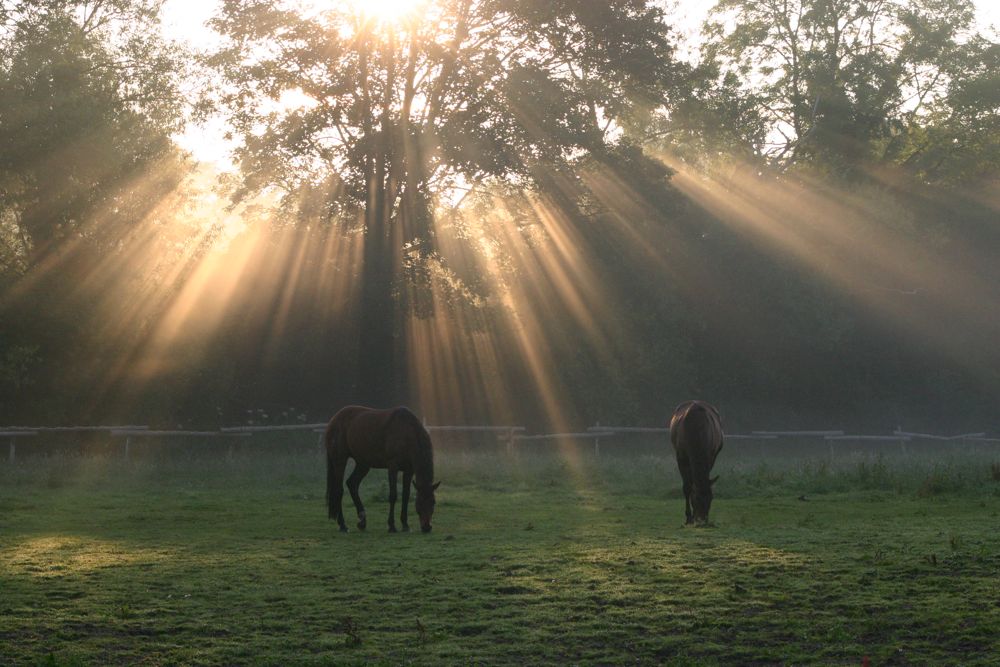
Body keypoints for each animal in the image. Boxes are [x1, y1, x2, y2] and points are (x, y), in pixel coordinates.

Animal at [326, 404, 440, 536]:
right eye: (419, 502)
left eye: (433, 502)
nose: (427, 527)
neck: (406, 432)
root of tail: (334, 420)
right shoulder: (393, 467)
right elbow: (393, 495)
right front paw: (392, 526)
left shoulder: (409, 471)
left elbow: (405, 496)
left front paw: (405, 525)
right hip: (340, 461)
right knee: (339, 490)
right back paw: (343, 525)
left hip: (363, 464)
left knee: (352, 484)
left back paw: (362, 521)